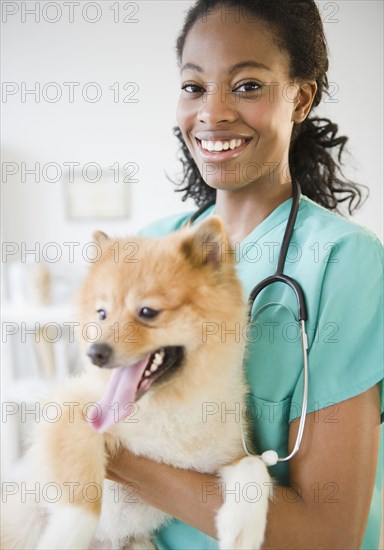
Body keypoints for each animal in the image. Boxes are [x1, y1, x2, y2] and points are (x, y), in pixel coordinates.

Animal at [0, 219, 270, 550]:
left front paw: (243, 528)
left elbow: (254, 466)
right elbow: (82, 492)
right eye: (102, 314)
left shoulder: (225, 455)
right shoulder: (72, 409)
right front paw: (67, 534)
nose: (95, 353)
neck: (166, 407)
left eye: (147, 312)